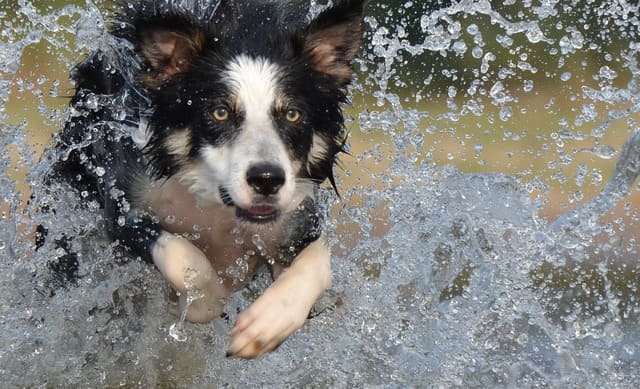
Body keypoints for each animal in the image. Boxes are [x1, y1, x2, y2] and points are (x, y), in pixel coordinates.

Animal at [51, 0, 364, 358]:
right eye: (220, 112)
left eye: (293, 114)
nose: (267, 179)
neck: (216, 205)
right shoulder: (123, 204)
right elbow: (185, 256)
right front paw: (204, 300)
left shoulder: (297, 219)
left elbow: (318, 261)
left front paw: (267, 323)